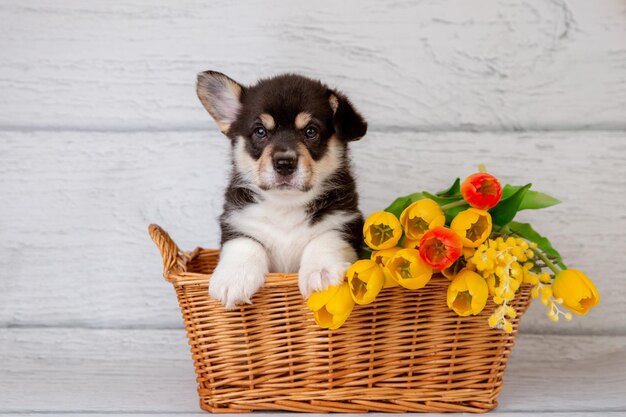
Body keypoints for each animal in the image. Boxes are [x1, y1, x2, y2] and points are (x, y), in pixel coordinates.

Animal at [195, 70, 366, 308]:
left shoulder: (344, 220)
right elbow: (245, 244)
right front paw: (233, 279)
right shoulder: (237, 222)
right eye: (260, 131)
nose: (284, 163)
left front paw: (321, 273)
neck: (286, 204)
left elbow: (325, 239)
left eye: (311, 131)